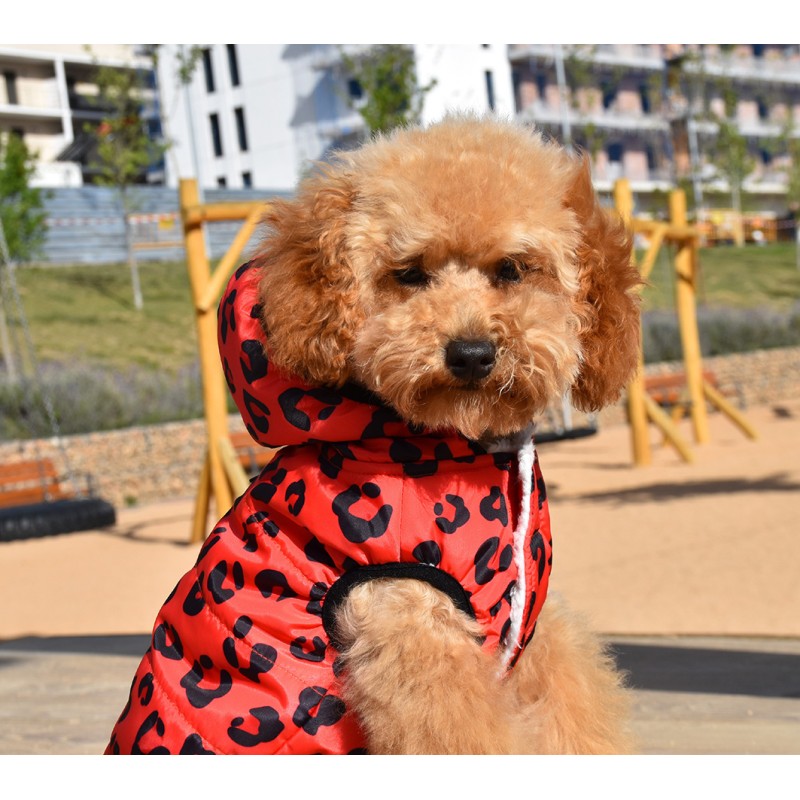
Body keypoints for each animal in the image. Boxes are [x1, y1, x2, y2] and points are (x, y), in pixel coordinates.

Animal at [106, 114, 640, 756]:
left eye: (511, 269)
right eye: (409, 274)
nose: (470, 353)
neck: (456, 445)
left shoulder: (530, 634)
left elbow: (576, 718)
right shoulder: (409, 627)